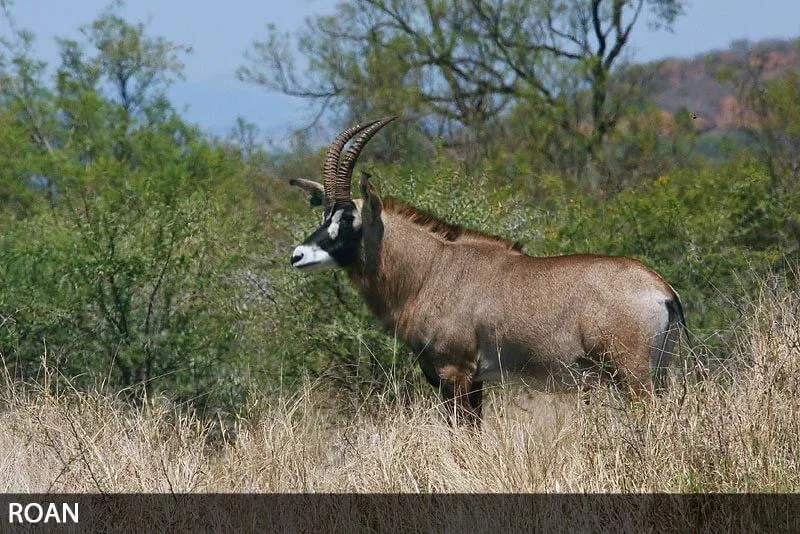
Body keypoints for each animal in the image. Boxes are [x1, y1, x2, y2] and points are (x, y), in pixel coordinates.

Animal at [289, 117, 687, 425]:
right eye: (324, 214)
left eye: (348, 218)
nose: (297, 255)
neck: (430, 270)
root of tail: (662, 290)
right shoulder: (474, 379)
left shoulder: (454, 371)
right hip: (657, 373)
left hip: (633, 375)